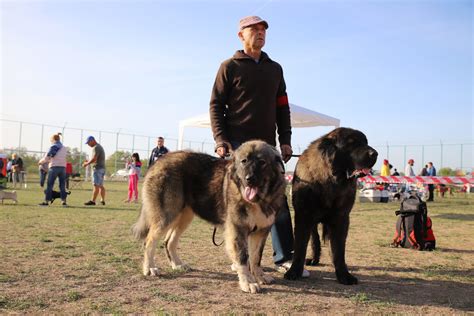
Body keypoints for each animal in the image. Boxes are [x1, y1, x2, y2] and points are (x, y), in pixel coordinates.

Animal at [132, 141, 286, 294]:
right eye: (244, 161)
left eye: (262, 162)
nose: (249, 179)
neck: (258, 201)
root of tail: (159, 161)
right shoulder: (237, 230)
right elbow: (242, 258)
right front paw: (248, 282)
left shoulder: (261, 231)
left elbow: (256, 257)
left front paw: (259, 276)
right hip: (166, 215)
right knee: (149, 241)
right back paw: (149, 268)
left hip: (184, 217)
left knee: (169, 241)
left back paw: (177, 265)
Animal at [286, 127, 378, 286]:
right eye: (352, 143)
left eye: (366, 142)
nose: (375, 153)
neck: (329, 180)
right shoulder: (303, 216)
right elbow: (300, 246)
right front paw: (294, 272)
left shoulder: (341, 218)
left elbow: (338, 250)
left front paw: (344, 275)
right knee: (315, 239)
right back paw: (313, 259)